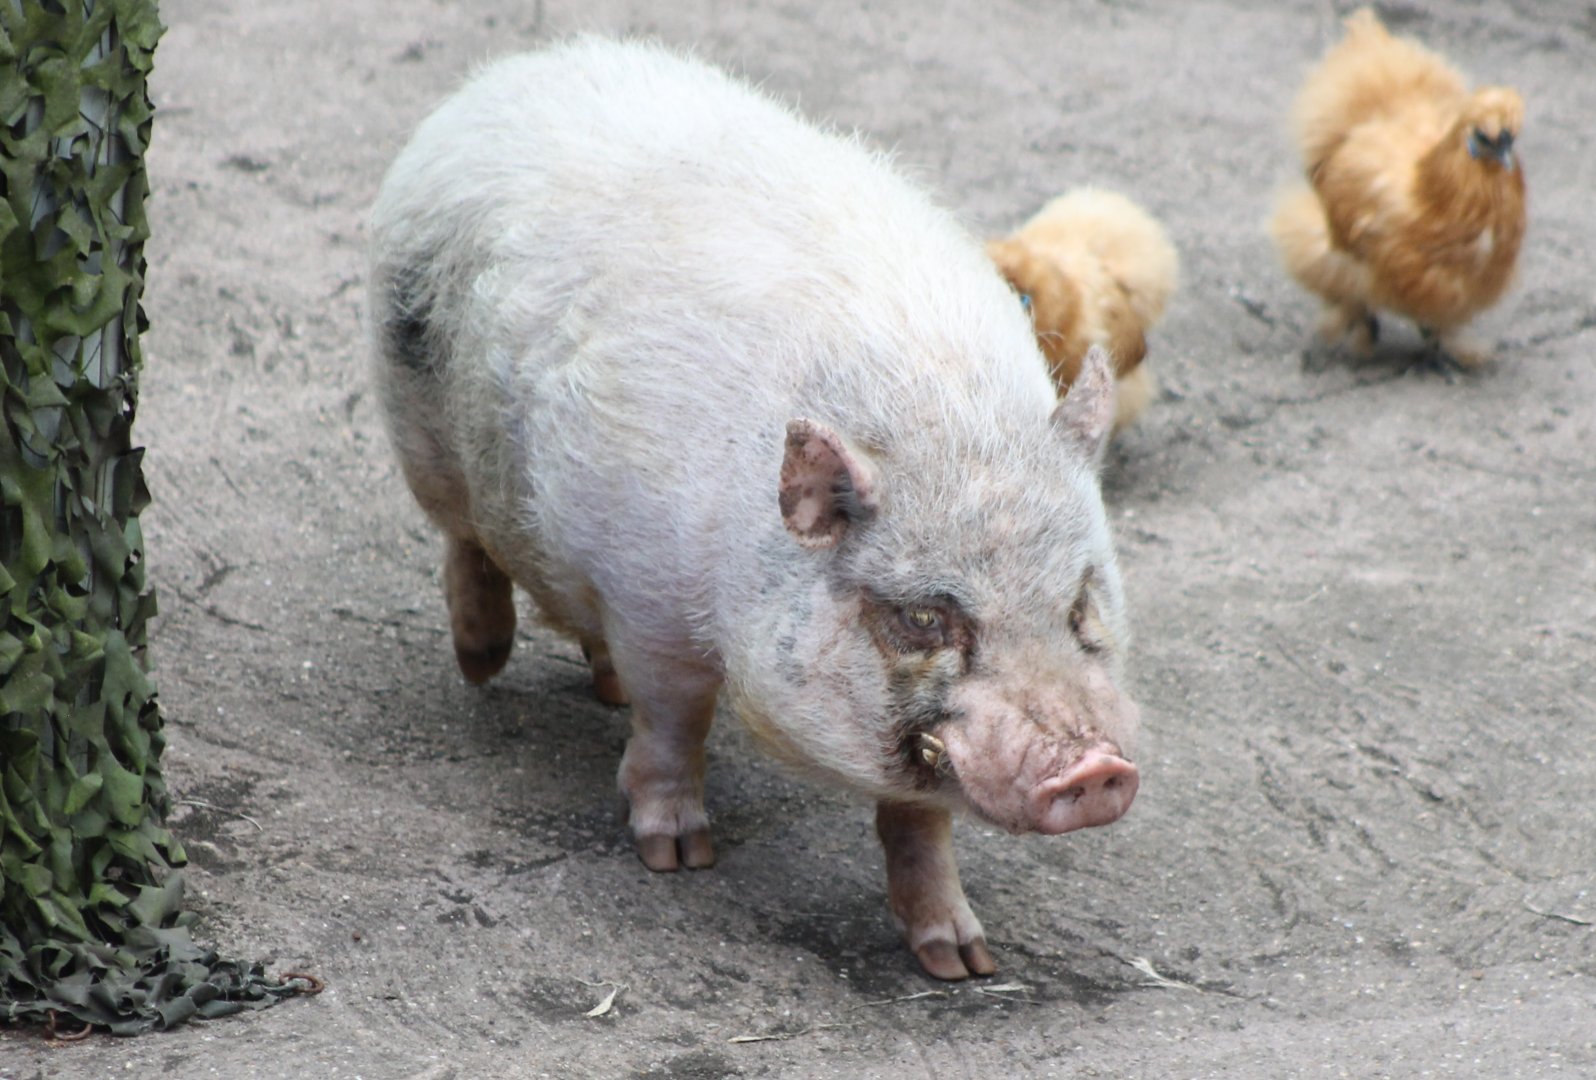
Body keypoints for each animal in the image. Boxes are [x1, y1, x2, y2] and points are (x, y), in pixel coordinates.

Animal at [368, 37, 1141, 981]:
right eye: (924, 619)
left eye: (1080, 603)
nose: (1094, 769)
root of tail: (518, 72)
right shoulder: (653, 603)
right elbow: (676, 723)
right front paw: (677, 858)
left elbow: (919, 821)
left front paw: (963, 961)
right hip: (418, 420)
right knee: (464, 542)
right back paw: (481, 662)